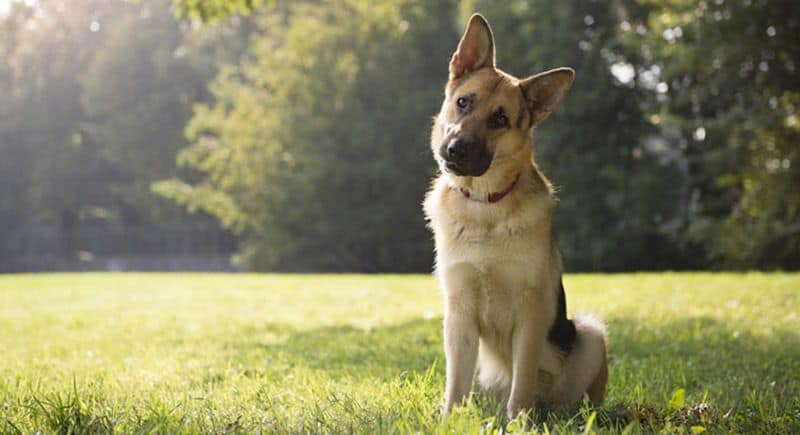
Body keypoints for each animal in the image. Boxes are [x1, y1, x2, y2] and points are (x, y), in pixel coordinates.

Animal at [424, 13, 608, 418]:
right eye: (463, 102)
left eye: (500, 119)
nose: (455, 150)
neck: (484, 206)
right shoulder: (459, 314)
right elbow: (455, 383)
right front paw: (450, 419)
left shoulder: (531, 313)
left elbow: (522, 379)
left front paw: (519, 420)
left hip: (590, 334)